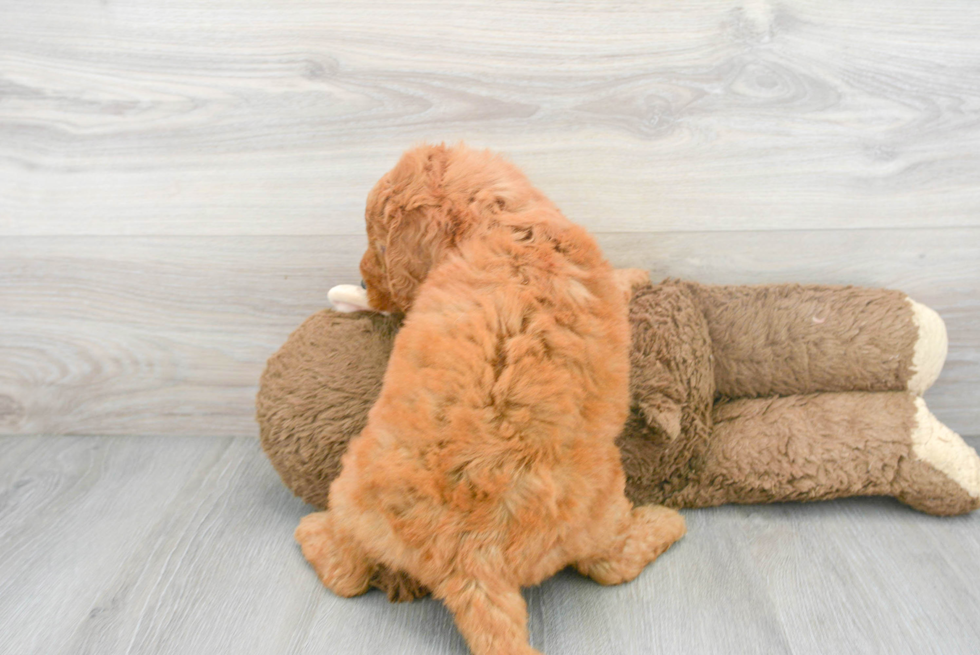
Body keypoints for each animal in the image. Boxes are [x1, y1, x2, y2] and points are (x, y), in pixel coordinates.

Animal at [294, 145, 684, 655]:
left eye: (377, 244)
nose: (363, 282)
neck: (502, 223)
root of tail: (471, 559)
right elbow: (618, 282)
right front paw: (637, 272)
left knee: (349, 574)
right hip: (600, 502)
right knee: (611, 562)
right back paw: (667, 522)